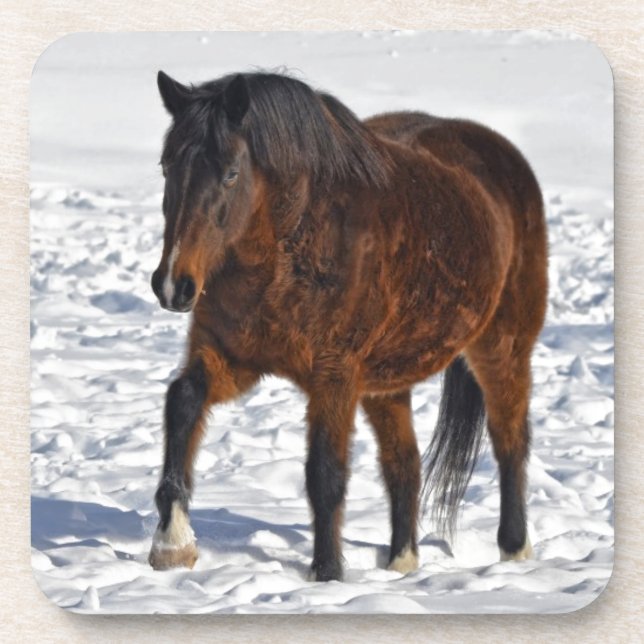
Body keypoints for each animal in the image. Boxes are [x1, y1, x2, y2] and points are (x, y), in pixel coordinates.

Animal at [147, 70, 547, 582]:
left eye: (231, 173)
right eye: (166, 167)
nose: (172, 285)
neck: (288, 247)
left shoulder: (334, 374)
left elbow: (325, 473)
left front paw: (327, 573)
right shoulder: (230, 356)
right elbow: (182, 402)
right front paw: (172, 543)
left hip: (503, 348)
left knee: (509, 441)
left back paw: (514, 550)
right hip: (386, 383)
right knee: (404, 462)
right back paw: (401, 562)